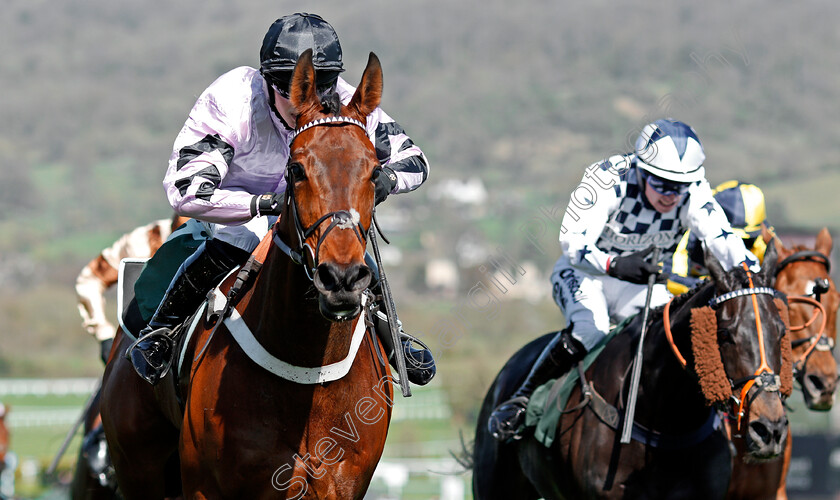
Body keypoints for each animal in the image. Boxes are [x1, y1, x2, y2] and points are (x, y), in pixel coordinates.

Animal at [101, 48, 394, 498]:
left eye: (376, 172)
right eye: (297, 170)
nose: (341, 280)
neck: (306, 373)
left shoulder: (342, 484)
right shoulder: (206, 485)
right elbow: (188, 181)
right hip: (137, 467)